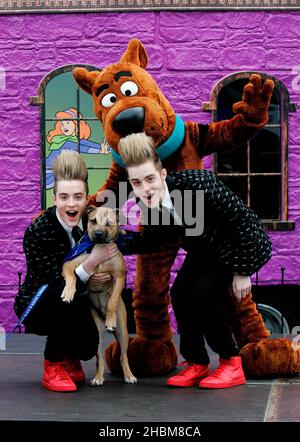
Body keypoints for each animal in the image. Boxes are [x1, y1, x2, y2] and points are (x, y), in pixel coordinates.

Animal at [61, 205, 136, 386]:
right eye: (93, 221)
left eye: (108, 223)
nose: (98, 234)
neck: (100, 247)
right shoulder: (70, 264)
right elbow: (72, 275)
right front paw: (68, 292)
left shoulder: (119, 276)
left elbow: (113, 300)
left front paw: (110, 319)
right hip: (97, 334)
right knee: (99, 356)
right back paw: (98, 377)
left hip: (122, 332)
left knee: (123, 355)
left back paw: (129, 375)